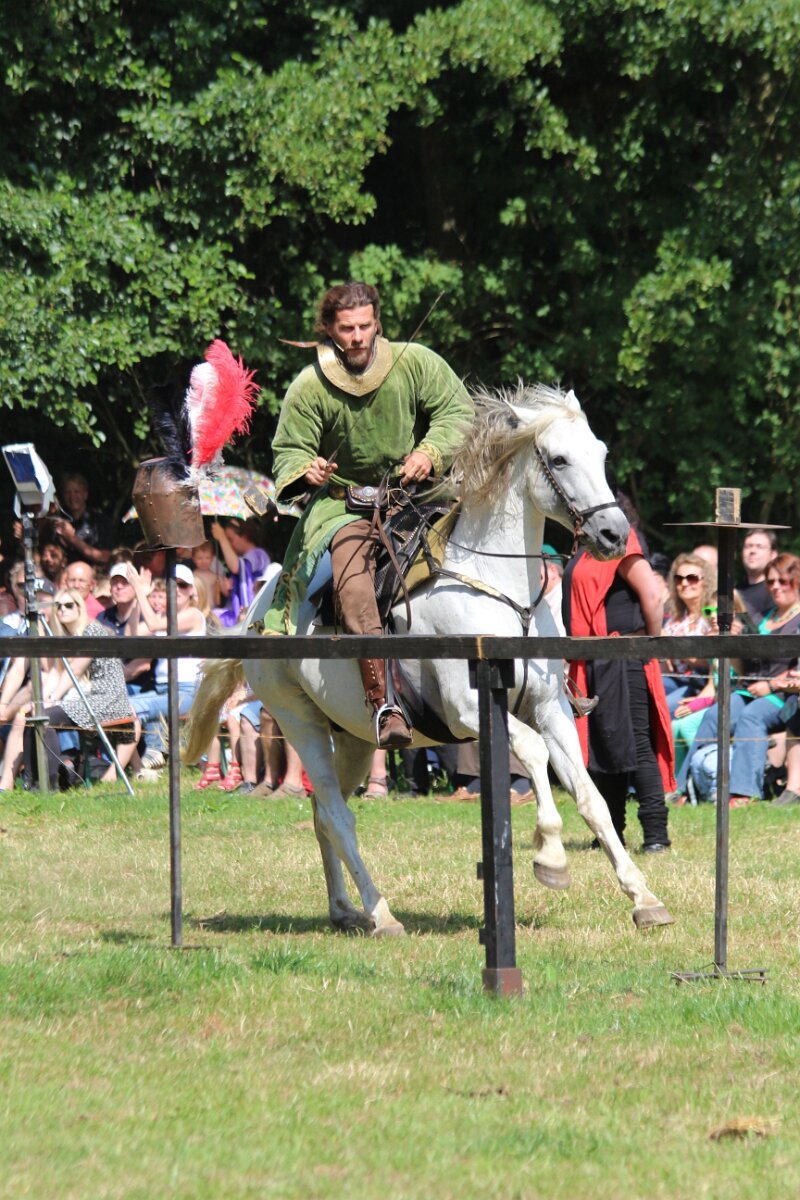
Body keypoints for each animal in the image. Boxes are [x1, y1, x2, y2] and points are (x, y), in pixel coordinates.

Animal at [185, 383, 674, 936]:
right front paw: (550, 856)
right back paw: (380, 913)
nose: (614, 534)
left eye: (601, 455)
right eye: (559, 459)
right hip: (298, 719)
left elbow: (592, 798)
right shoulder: (468, 710)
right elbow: (533, 754)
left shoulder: (552, 709)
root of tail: (256, 609)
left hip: (353, 737)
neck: (498, 586)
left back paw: (343, 908)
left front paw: (643, 898)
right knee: (336, 813)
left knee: (322, 811)